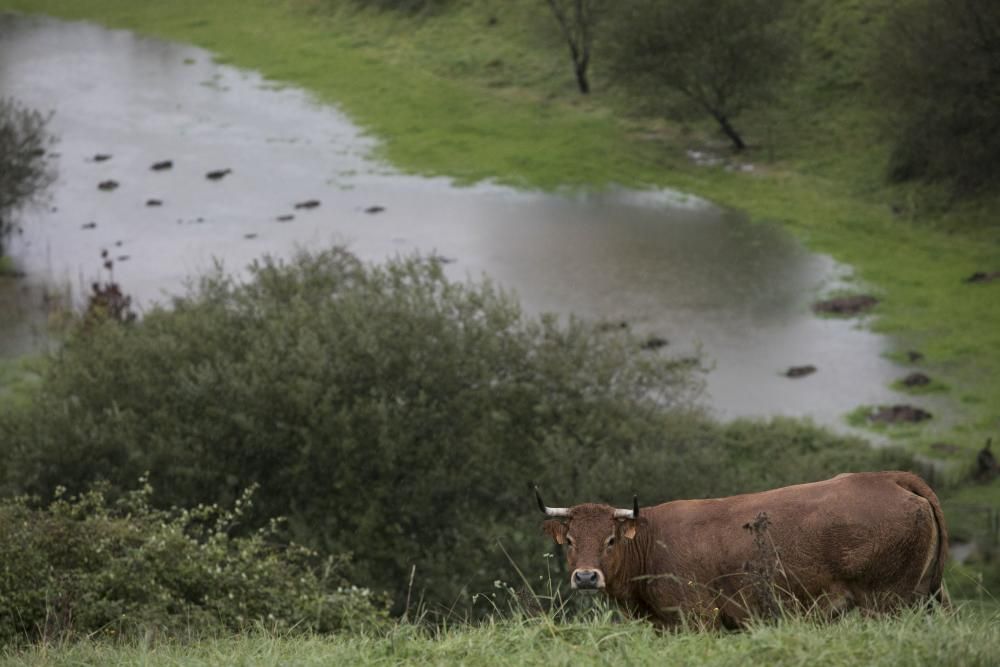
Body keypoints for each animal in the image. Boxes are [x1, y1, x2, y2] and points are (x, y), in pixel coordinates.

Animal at [536, 472, 948, 628]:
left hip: (886, 602)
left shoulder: (697, 620)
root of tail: (885, 477)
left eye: (611, 539)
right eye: (570, 541)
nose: (586, 577)